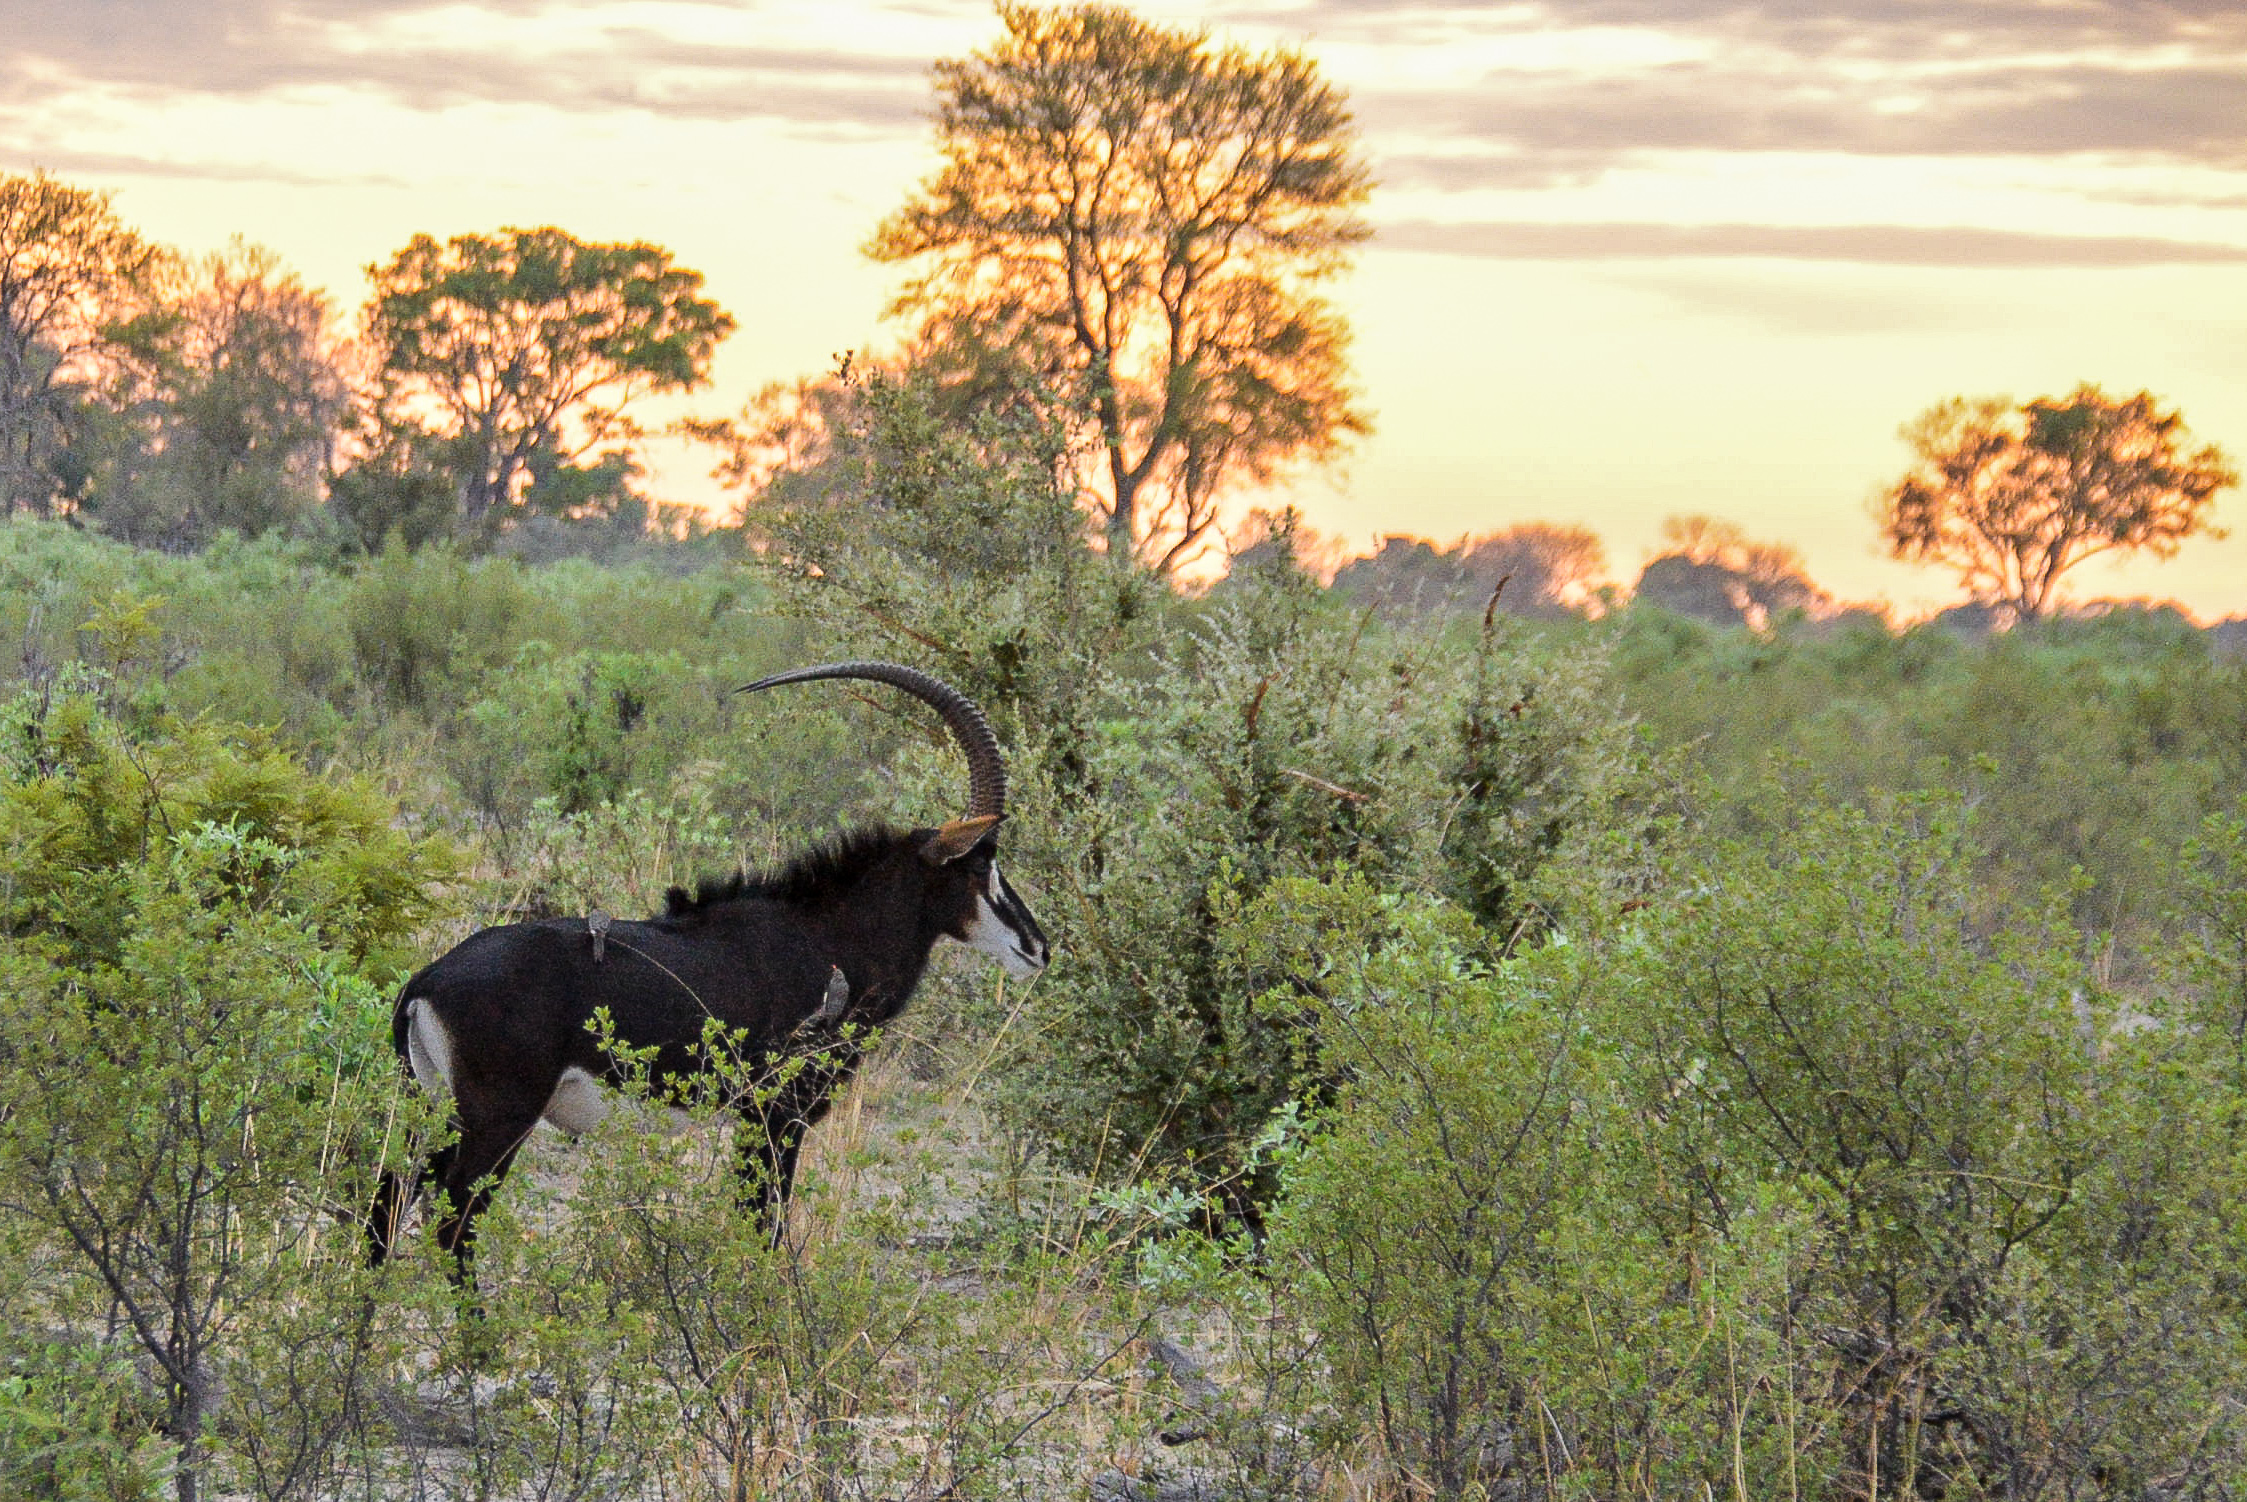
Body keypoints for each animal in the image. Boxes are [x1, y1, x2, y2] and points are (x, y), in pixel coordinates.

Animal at [370, 661, 1051, 1259]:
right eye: (981, 864)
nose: (1038, 947)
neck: (825, 933)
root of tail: (425, 981)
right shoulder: (776, 1115)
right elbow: (766, 1227)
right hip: (497, 1119)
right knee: (454, 1221)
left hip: (428, 1111)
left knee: (388, 1203)